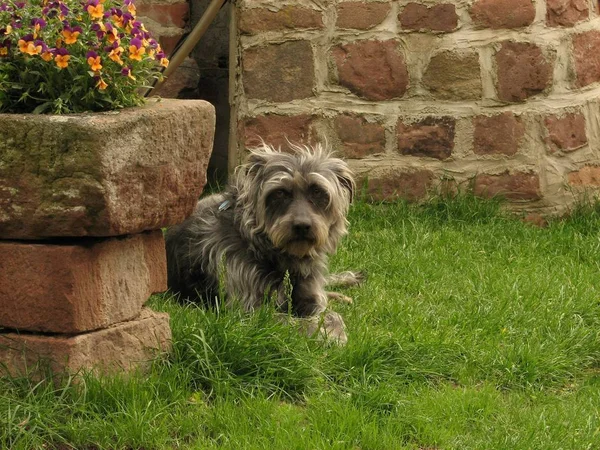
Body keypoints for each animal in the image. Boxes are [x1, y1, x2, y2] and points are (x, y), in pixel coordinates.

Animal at [164, 142, 360, 342]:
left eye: (318, 191)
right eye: (280, 193)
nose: (302, 226)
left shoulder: (310, 293)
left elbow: (331, 314)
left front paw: (335, 328)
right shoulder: (251, 311)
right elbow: (289, 321)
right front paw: (322, 333)